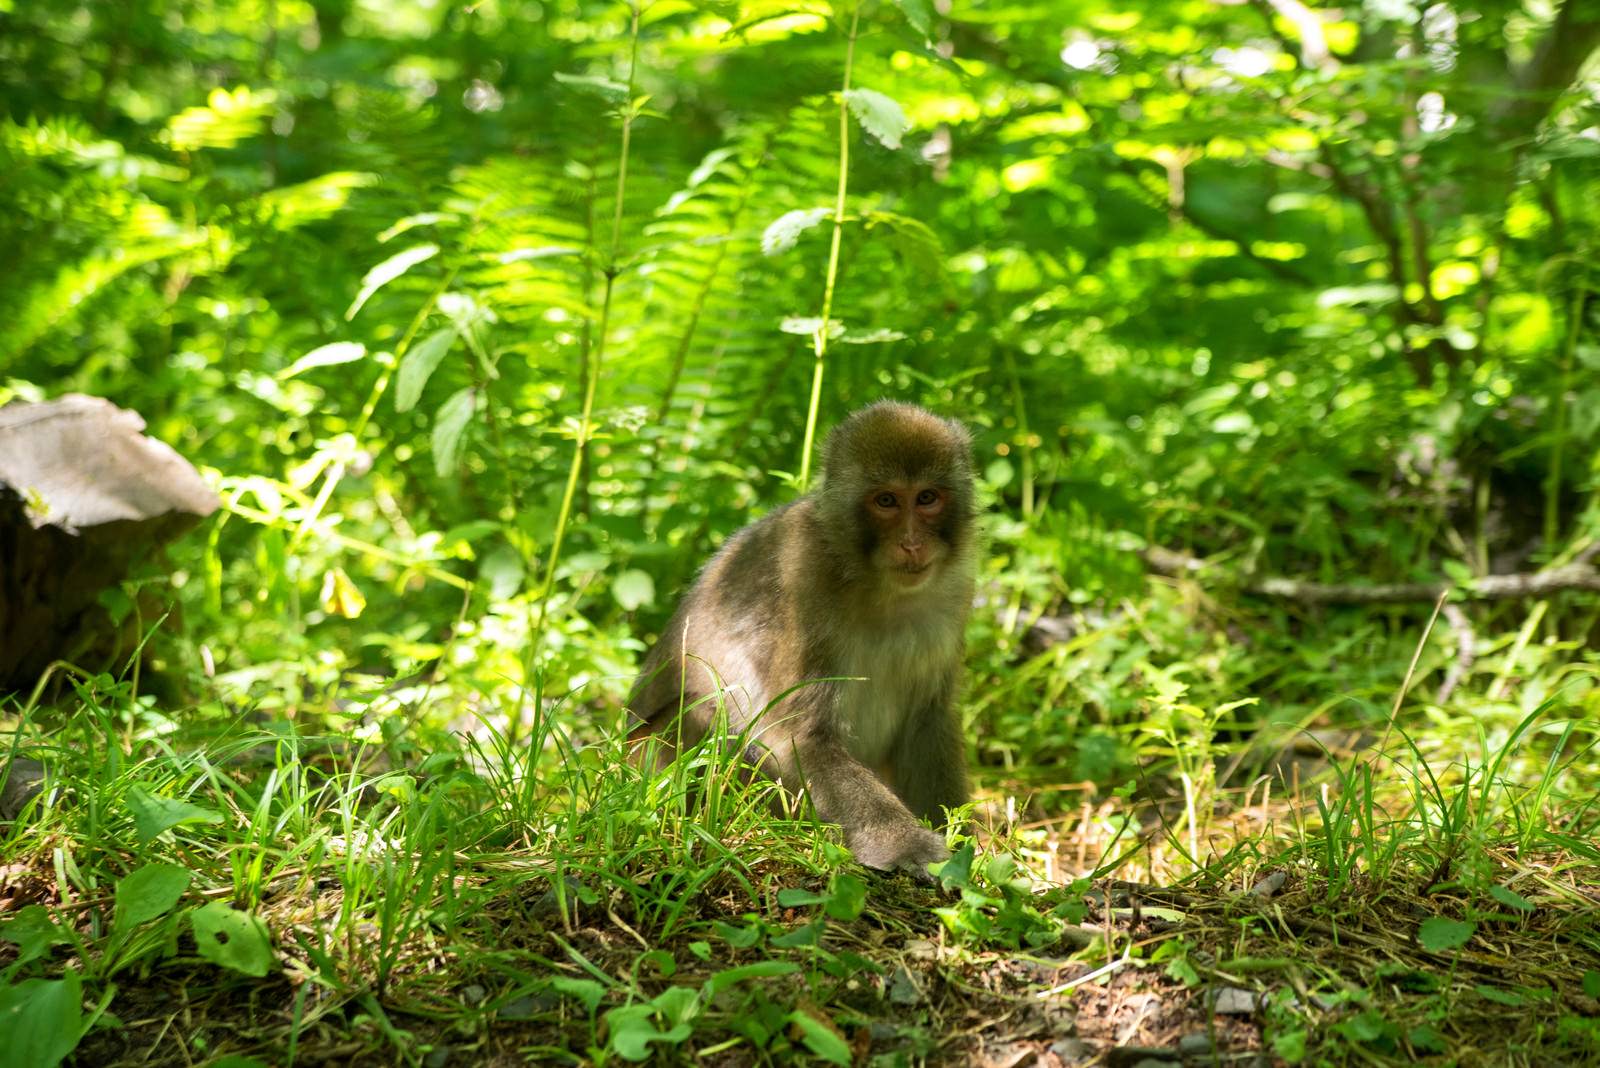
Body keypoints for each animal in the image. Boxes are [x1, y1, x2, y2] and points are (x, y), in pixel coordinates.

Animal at [624, 399, 972, 876]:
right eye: (886, 501)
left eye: (927, 498)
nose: (912, 543)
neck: (877, 587)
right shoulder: (804, 576)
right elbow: (804, 736)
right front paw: (906, 846)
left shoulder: (951, 600)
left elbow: (928, 720)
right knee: (707, 715)